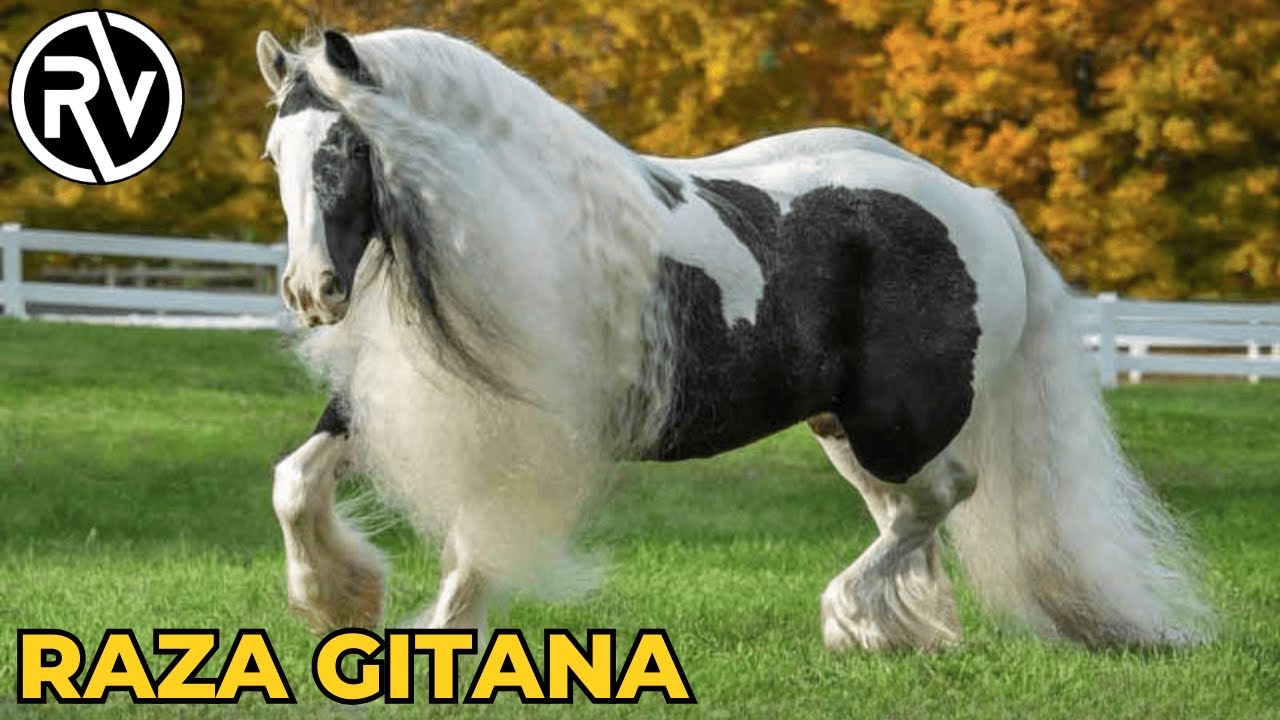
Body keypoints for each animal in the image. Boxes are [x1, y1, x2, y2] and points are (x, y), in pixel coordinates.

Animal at [256, 27, 1213, 651]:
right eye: (275, 153)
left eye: (346, 149)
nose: (311, 292)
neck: (523, 218)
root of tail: (977, 203)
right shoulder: (400, 401)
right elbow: (295, 482)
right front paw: (339, 602)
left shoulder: (525, 421)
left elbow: (480, 535)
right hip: (845, 427)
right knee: (908, 511)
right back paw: (902, 634)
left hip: (894, 421)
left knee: (941, 495)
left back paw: (850, 617)